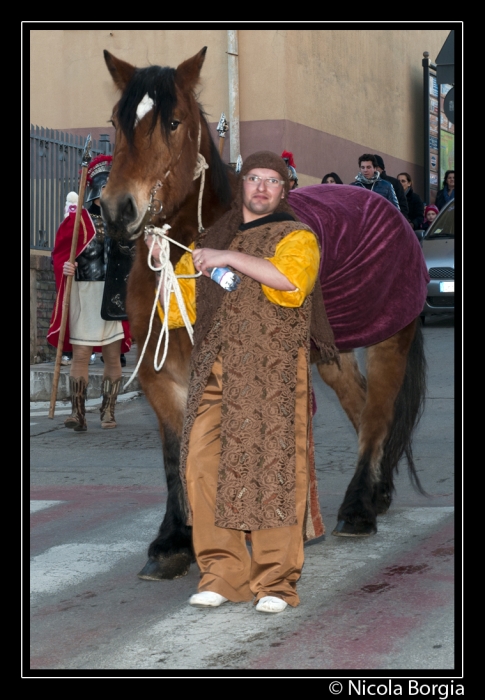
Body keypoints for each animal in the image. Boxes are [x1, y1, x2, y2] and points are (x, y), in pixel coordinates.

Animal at [100, 45, 426, 580]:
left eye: (173, 121)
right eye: (115, 122)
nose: (117, 210)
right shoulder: (159, 374)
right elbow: (174, 452)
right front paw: (174, 540)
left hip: (389, 338)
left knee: (378, 413)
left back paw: (359, 507)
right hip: (331, 354)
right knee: (360, 406)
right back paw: (377, 494)